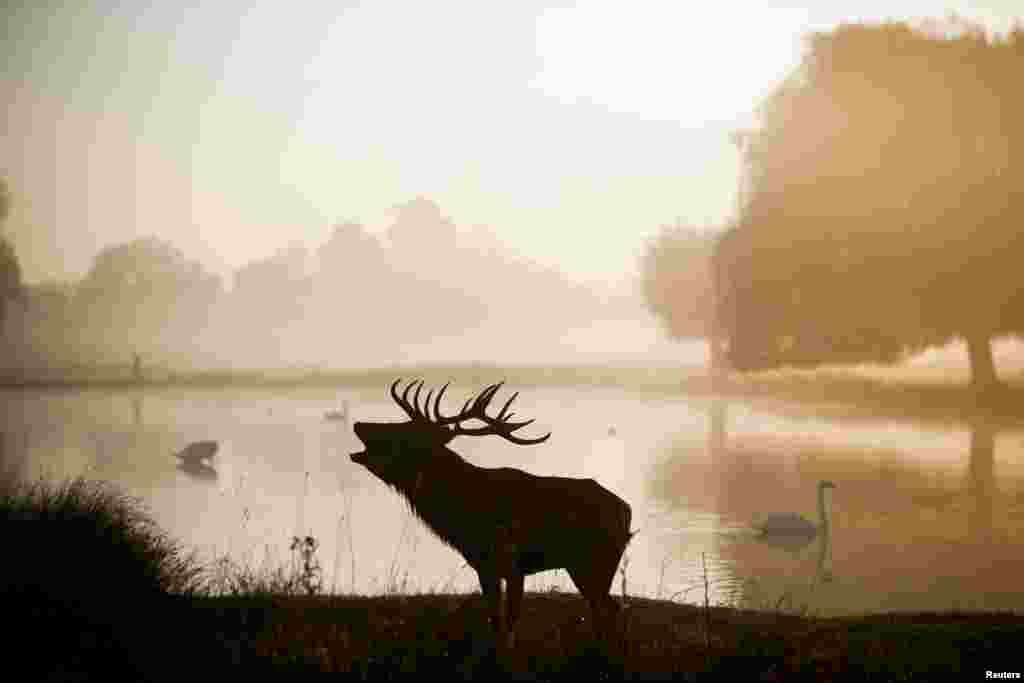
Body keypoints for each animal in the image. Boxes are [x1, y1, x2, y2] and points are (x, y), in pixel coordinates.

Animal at [350, 379, 633, 653]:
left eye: (404, 432)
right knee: (605, 609)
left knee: (608, 609)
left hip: (597, 560)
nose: (359, 424)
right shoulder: (484, 565)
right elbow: (495, 621)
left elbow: (509, 624)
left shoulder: (512, 562)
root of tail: (627, 510)